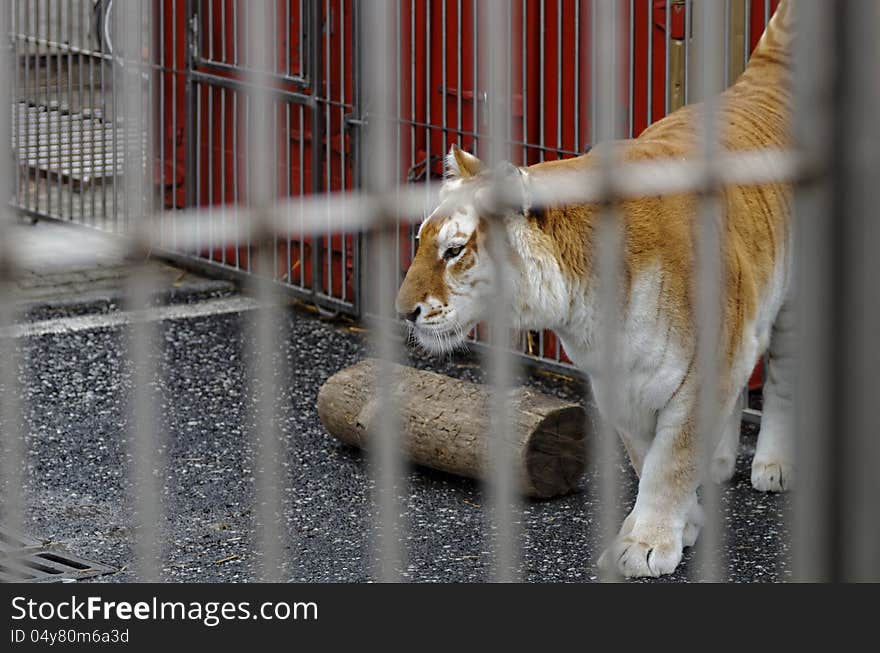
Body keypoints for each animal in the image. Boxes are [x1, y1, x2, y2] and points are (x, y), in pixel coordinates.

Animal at [396, 3, 796, 576]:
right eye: (421, 242)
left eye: (453, 251)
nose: (402, 311)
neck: (584, 304)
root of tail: (756, 84)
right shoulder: (619, 380)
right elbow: (648, 456)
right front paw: (683, 523)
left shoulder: (704, 367)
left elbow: (670, 462)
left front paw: (646, 545)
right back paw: (720, 463)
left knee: (782, 378)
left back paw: (774, 464)